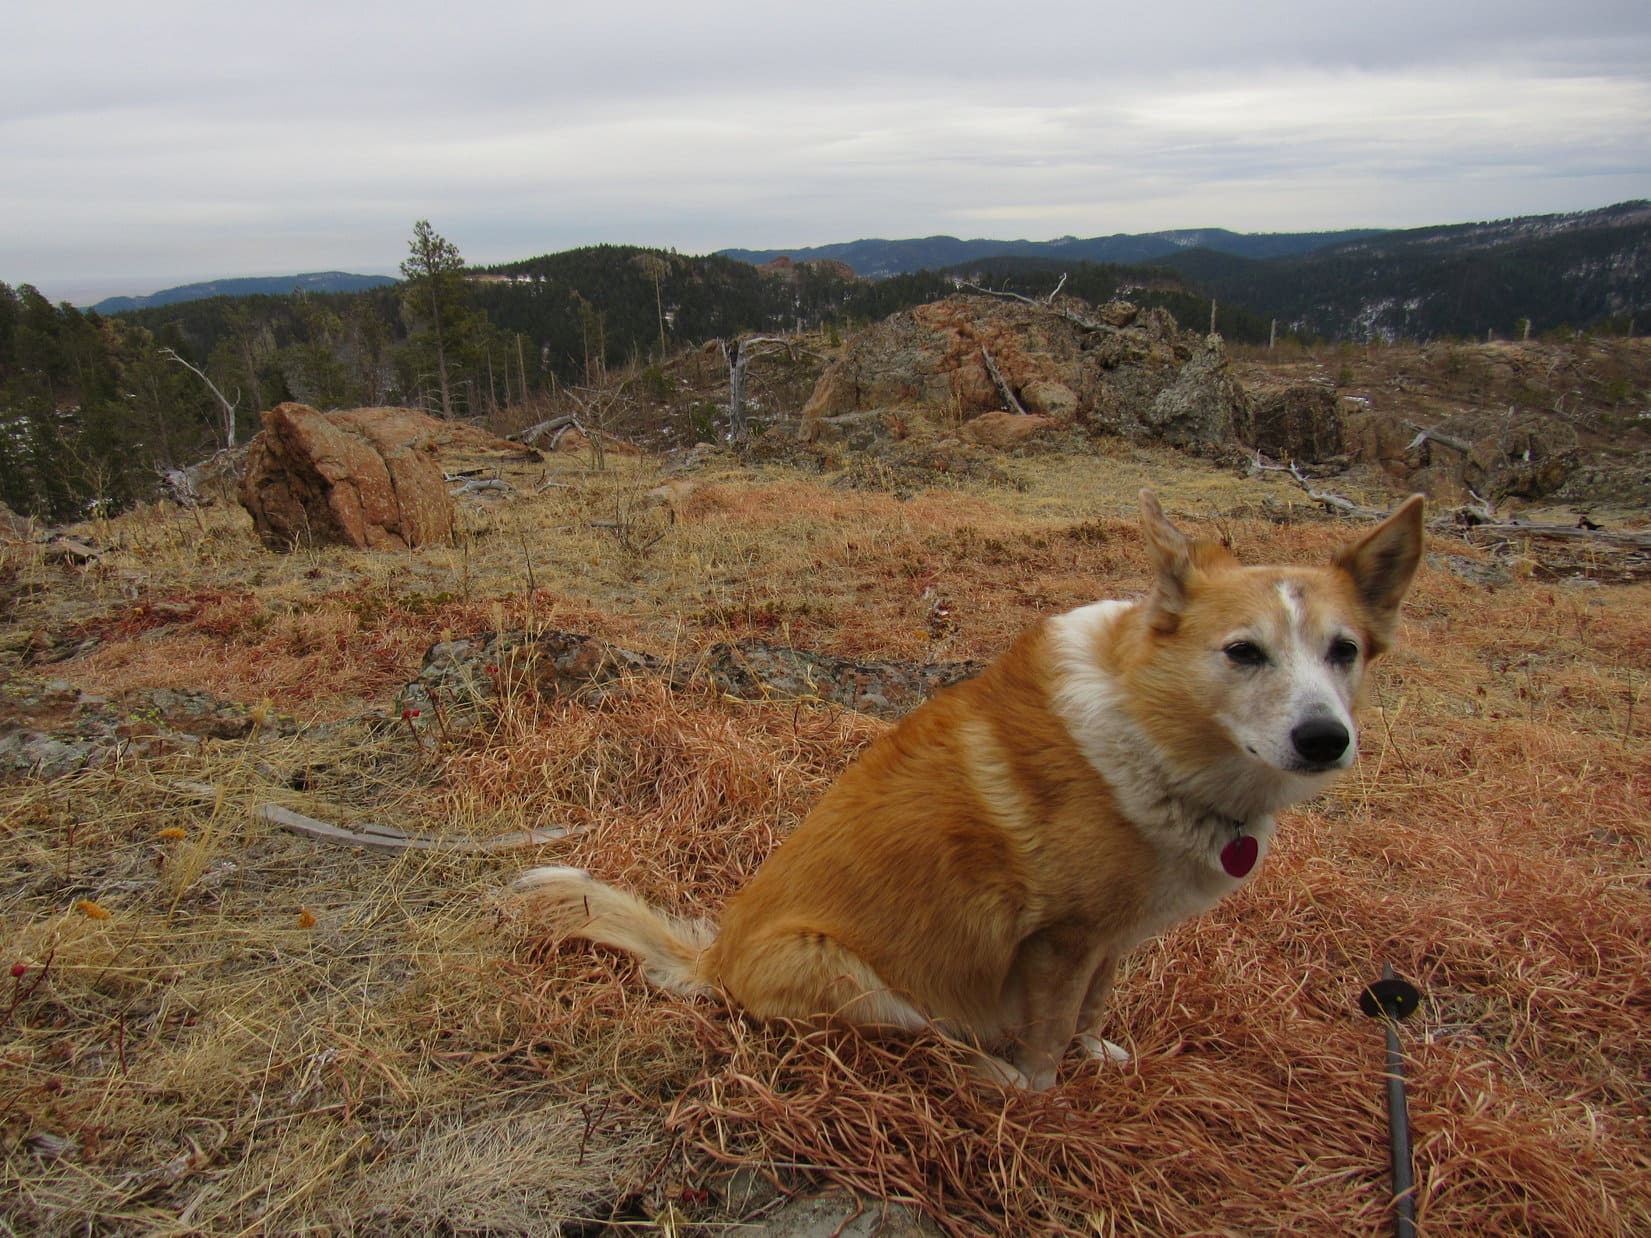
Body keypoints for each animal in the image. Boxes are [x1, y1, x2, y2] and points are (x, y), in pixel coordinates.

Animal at [514, 490, 1425, 1089]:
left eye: (1344, 651)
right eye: (1242, 652)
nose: (1324, 741)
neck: (1153, 732)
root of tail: (715, 959)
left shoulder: (1108, 941)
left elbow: (1091, 1014)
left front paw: (1097, 1060)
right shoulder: (1057, 942)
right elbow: (1049, 1037)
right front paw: (1044, 1103)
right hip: (866, 985)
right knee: (928, 1040)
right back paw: (981, 1070)